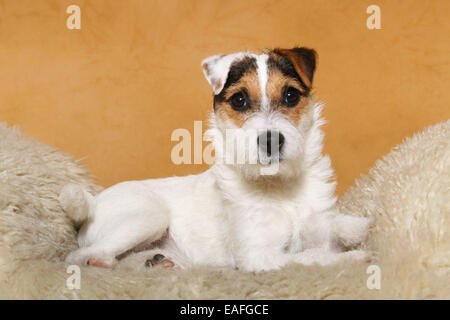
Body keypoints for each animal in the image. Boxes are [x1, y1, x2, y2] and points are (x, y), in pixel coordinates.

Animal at [59, 47, 372, 272]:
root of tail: (93, 203)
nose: (271, 140)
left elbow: (328, 231)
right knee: (80, 254)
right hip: (149, 215)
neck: (279, 187)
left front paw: (355, 227)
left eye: (291, 95)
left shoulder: (317, 228)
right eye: (239, 101)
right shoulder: (258, 256)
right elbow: (310, 258)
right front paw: (354, 259)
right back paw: (101, 261)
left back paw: (161, 262)